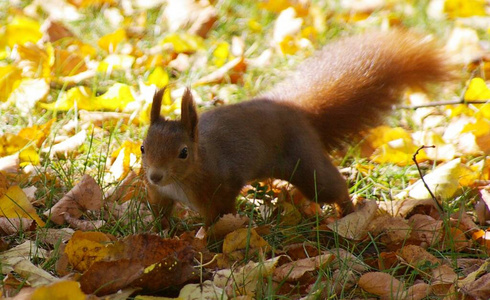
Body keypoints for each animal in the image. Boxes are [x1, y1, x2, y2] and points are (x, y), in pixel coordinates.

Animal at [142, 29, 456, 225]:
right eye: (143, 147)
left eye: (183, 152)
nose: (155, 176)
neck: (182, 180)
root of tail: (295, 110)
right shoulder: (159, 196)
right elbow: (160, 215)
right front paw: (159, 232)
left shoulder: (218, 191)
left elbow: (218, 222)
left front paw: (206, 243)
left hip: (306, 163)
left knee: (331, 186)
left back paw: (349, 212)